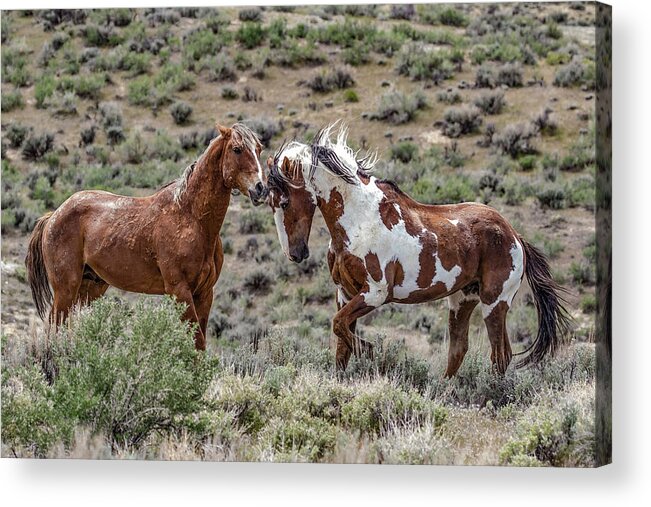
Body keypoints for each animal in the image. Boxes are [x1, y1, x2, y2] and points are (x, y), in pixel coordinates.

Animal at [26, 122, 268, 350]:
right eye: (237, 149)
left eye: (259, 149)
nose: (260, 189)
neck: (190, 217)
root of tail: (53, 215)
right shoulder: (180, 291)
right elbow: (196, 341)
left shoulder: (205, 293)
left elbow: (199, 344)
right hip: (66, 288)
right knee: (55, 326)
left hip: (90, 287)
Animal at [266, 124, 572, 376]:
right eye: (269, 202)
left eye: (284, 202)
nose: (296, 253)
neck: (360, 219)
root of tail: (515, 235)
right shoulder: (345, 294)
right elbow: (341, 347)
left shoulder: (374, 294)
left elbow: (339, 328)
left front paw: (372, 350)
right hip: (462, 300)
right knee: (458, 351)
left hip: (495, 302)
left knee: (500, 355)